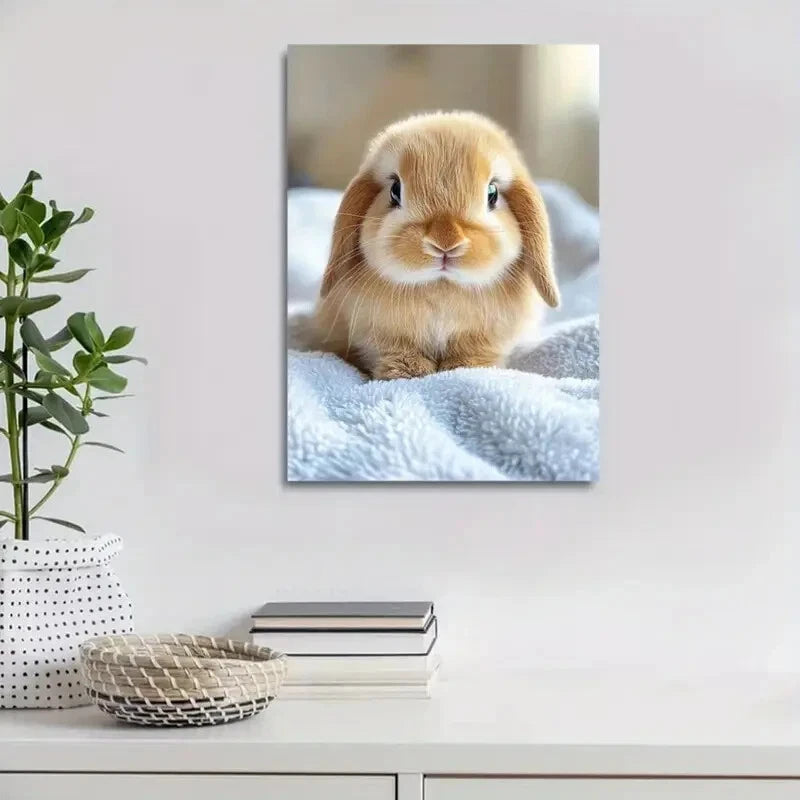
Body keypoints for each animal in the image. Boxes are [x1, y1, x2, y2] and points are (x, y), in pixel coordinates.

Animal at [312, 111, 559, 380]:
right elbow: (396, 351)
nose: (445, 243)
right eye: (395, 190)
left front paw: (468, 368)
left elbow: (475, 352)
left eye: (492, 194)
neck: (441, 287)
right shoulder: (382, 335)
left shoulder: (486, 337)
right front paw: (408, 372)